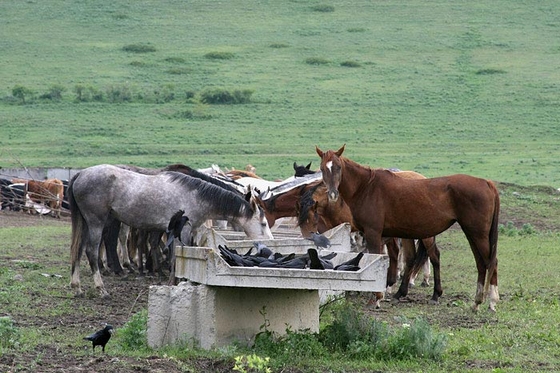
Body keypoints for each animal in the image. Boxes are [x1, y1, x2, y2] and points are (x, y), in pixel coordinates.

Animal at [318, 145, 500, 310]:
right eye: (322, 168)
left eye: (338, 167)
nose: (332, 194)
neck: (367, 187)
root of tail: (486, 183)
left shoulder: (373, 233)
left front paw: (376, 298)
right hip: (471, 233)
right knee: (480, 263)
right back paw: (475, 302)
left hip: (477, 234)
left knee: (490, 262)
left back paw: (491, 301)